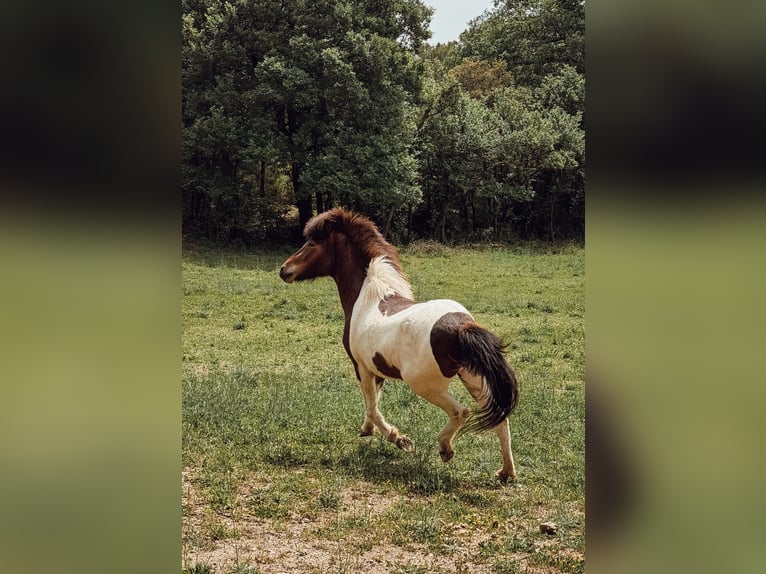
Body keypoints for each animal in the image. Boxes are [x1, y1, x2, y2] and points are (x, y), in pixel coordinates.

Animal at [279, 208, 519, 481]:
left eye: (311, 243)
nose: (283, 269)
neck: (368, 295)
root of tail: (461, 327)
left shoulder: (361, 367)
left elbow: (372, 407)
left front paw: (399, 439)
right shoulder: (377, 369)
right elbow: (373, 402)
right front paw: (367, 430)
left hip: (426, 386)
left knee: (462, 412)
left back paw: (445, 449)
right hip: (474, 379)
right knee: (501, 419)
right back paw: (506, 472)